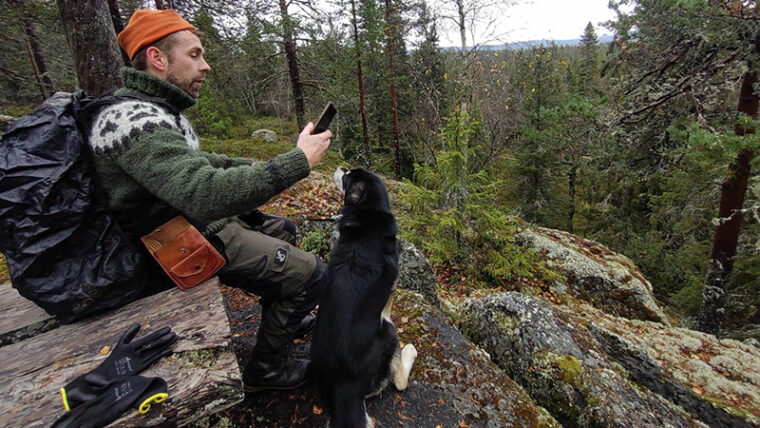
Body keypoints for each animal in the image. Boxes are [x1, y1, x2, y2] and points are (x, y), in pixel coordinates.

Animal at [312, 167, 418, 428]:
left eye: (347, 175)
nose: (340, 166)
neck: (370, 214)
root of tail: (343, 386)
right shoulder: (392, 286)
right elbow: (387, 306)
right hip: (388, 333)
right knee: (399, 382)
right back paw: (410, 351)